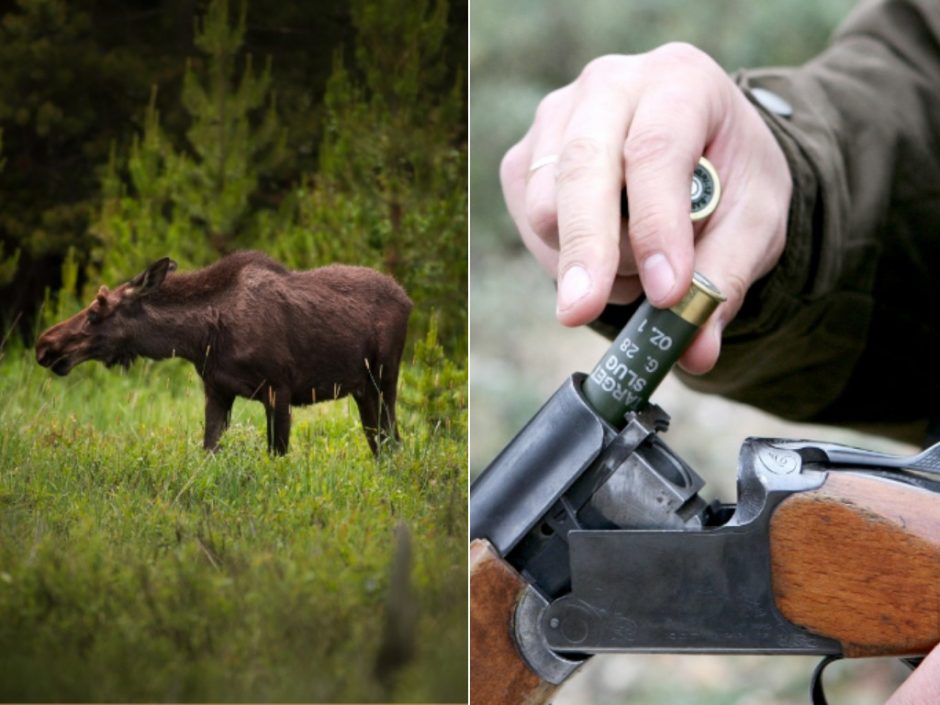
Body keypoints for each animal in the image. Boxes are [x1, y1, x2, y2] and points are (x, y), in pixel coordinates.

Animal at [36, 250, 412, 454]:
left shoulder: (279, 389)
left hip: (385, 378)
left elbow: (277, 455)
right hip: (362, 389)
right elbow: (209, 450)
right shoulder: (217, 390)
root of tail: (409, 300)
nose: (45, 345)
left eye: (96, 311)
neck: (201, 338)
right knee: (380, 443)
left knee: (393, 441)